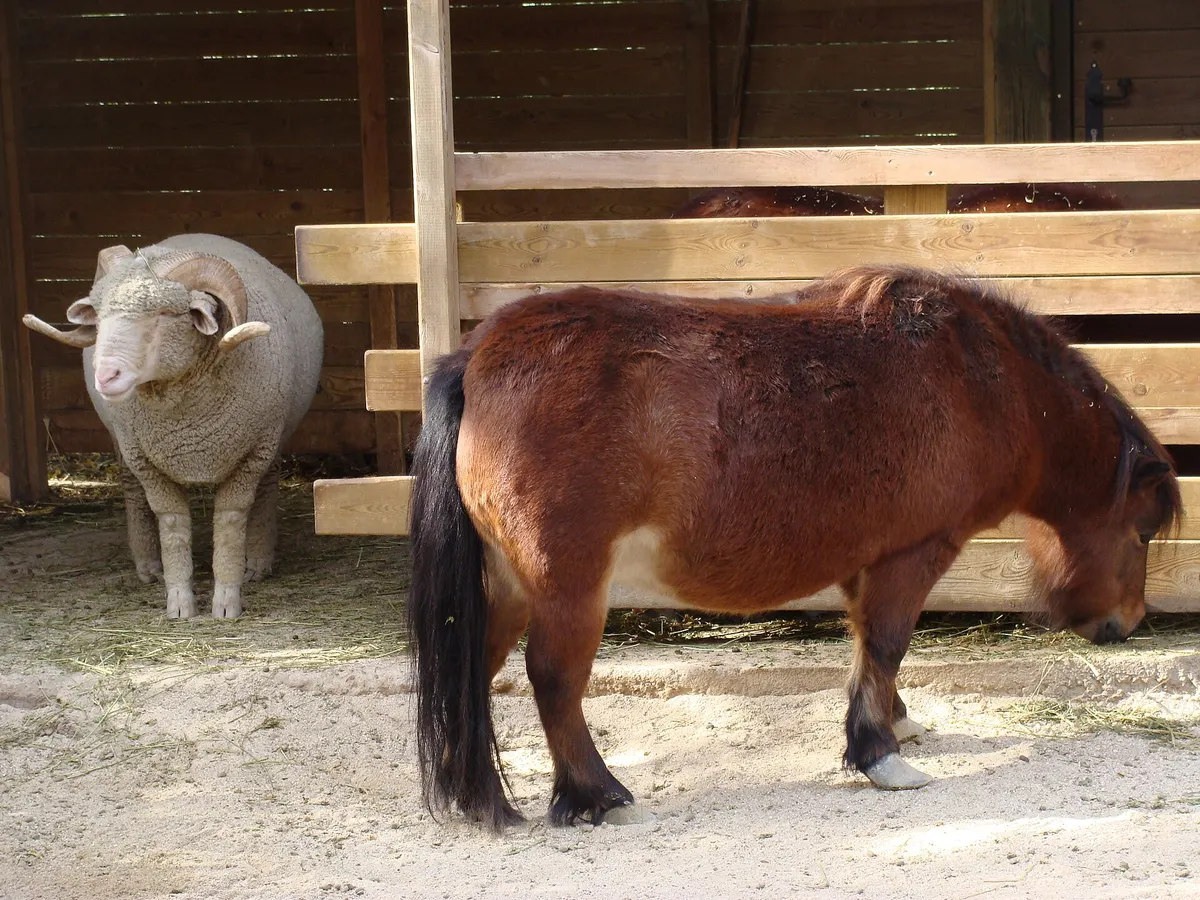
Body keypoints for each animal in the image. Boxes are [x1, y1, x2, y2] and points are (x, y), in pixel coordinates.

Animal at [406, 266, 1181, 831]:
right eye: (1142, 531)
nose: (1125, 625)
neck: (984, 381)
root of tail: (475, 358)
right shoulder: (915, 552)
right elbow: (888, 643)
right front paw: (879, 754)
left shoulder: (864, 561)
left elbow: (870, 650)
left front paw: (894, 721)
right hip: (568, 584)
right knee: (553, 678)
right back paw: (595, 793)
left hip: (508, 582)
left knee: (477, 665)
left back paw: (474, 795)